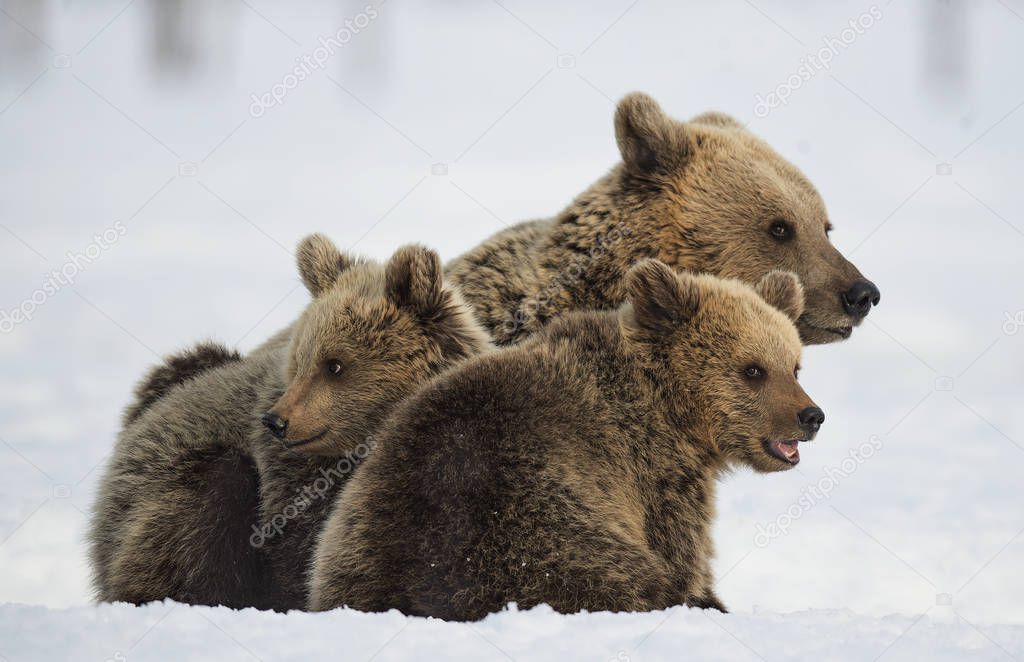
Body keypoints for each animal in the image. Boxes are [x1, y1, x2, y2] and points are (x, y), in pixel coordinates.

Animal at [309, 262, 823, 618]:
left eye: (794, 366)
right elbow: (683, 559)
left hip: (358, 534)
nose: (811, 416)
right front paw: (706, 596)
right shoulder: (656, 477)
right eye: (753, 370)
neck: (671, 408)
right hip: (535, 525)